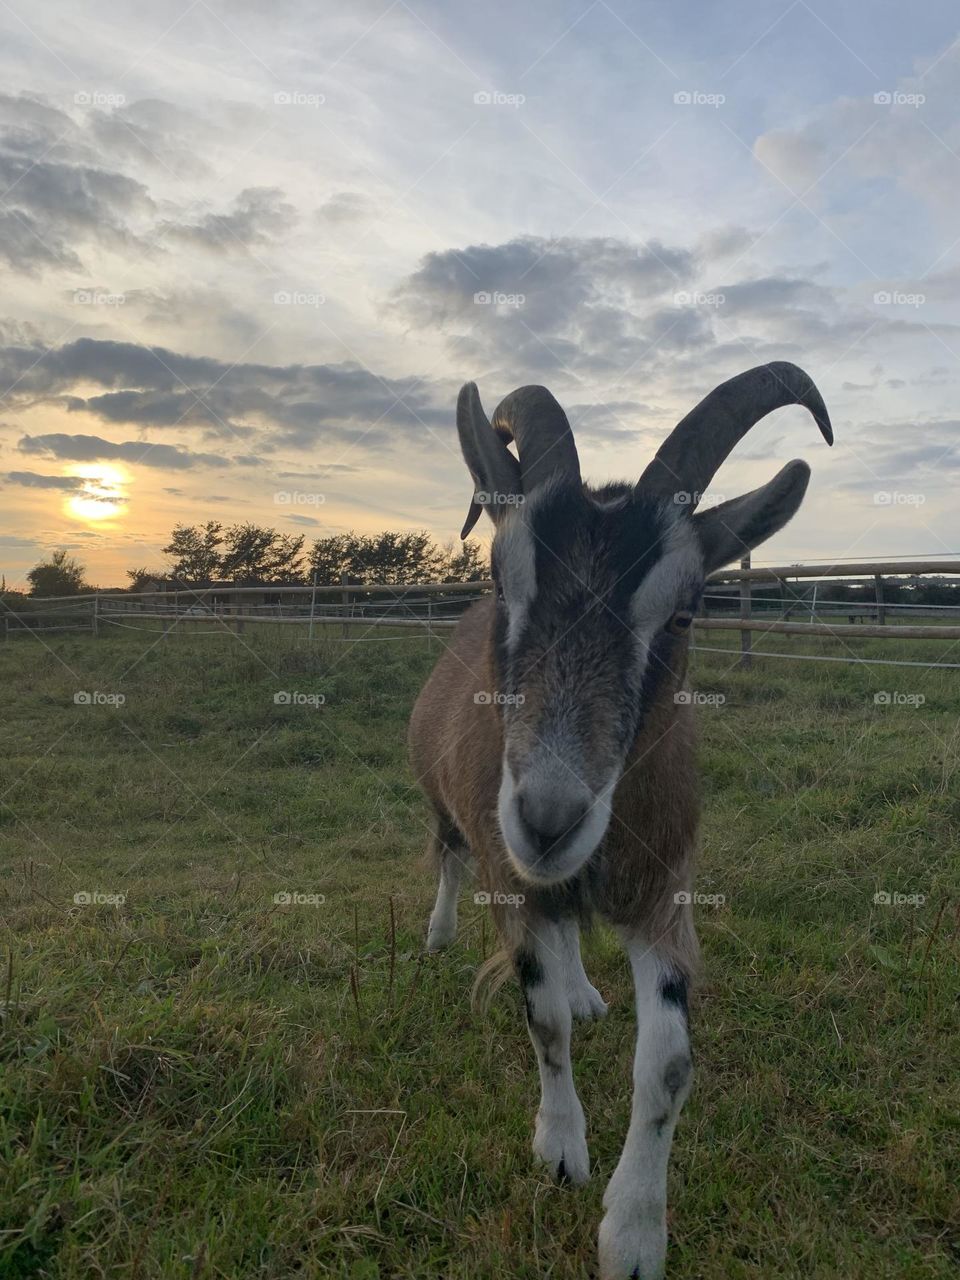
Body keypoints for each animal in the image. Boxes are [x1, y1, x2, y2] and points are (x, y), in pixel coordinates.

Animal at [407, 363, 834, 1280]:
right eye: (501, 578)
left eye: (686, 610)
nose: (548, 817)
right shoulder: (514, 882)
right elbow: (543, 1018)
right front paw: (561, 1151)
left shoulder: (663, 888)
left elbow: (668, 1065)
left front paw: (634, 1233)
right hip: (448, 807)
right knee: (449, 856)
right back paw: (439, 932)